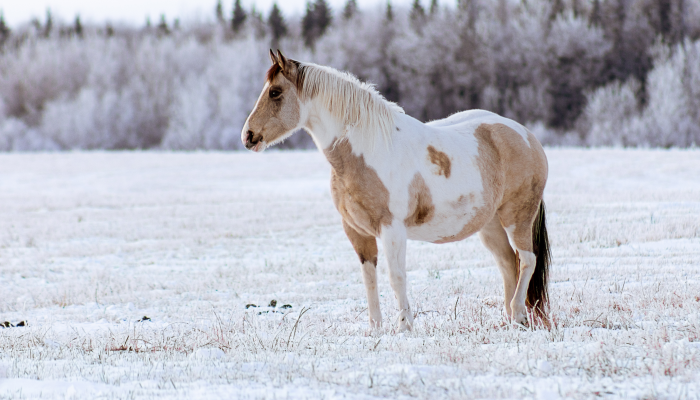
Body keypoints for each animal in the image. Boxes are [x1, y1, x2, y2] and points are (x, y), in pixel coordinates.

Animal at [243, 50, 548, 332]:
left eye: (275, 92)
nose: (248, 136)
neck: (368, 149)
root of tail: (528, 137)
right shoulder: (357, 232)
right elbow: (369, 278)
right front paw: (375, 329)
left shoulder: (392, 229)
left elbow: (396, 277)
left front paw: (404, 327)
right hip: (490, 225)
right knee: (508, 264)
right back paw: (512, 321)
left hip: (517, 217)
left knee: (527, 260)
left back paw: (518, 314)